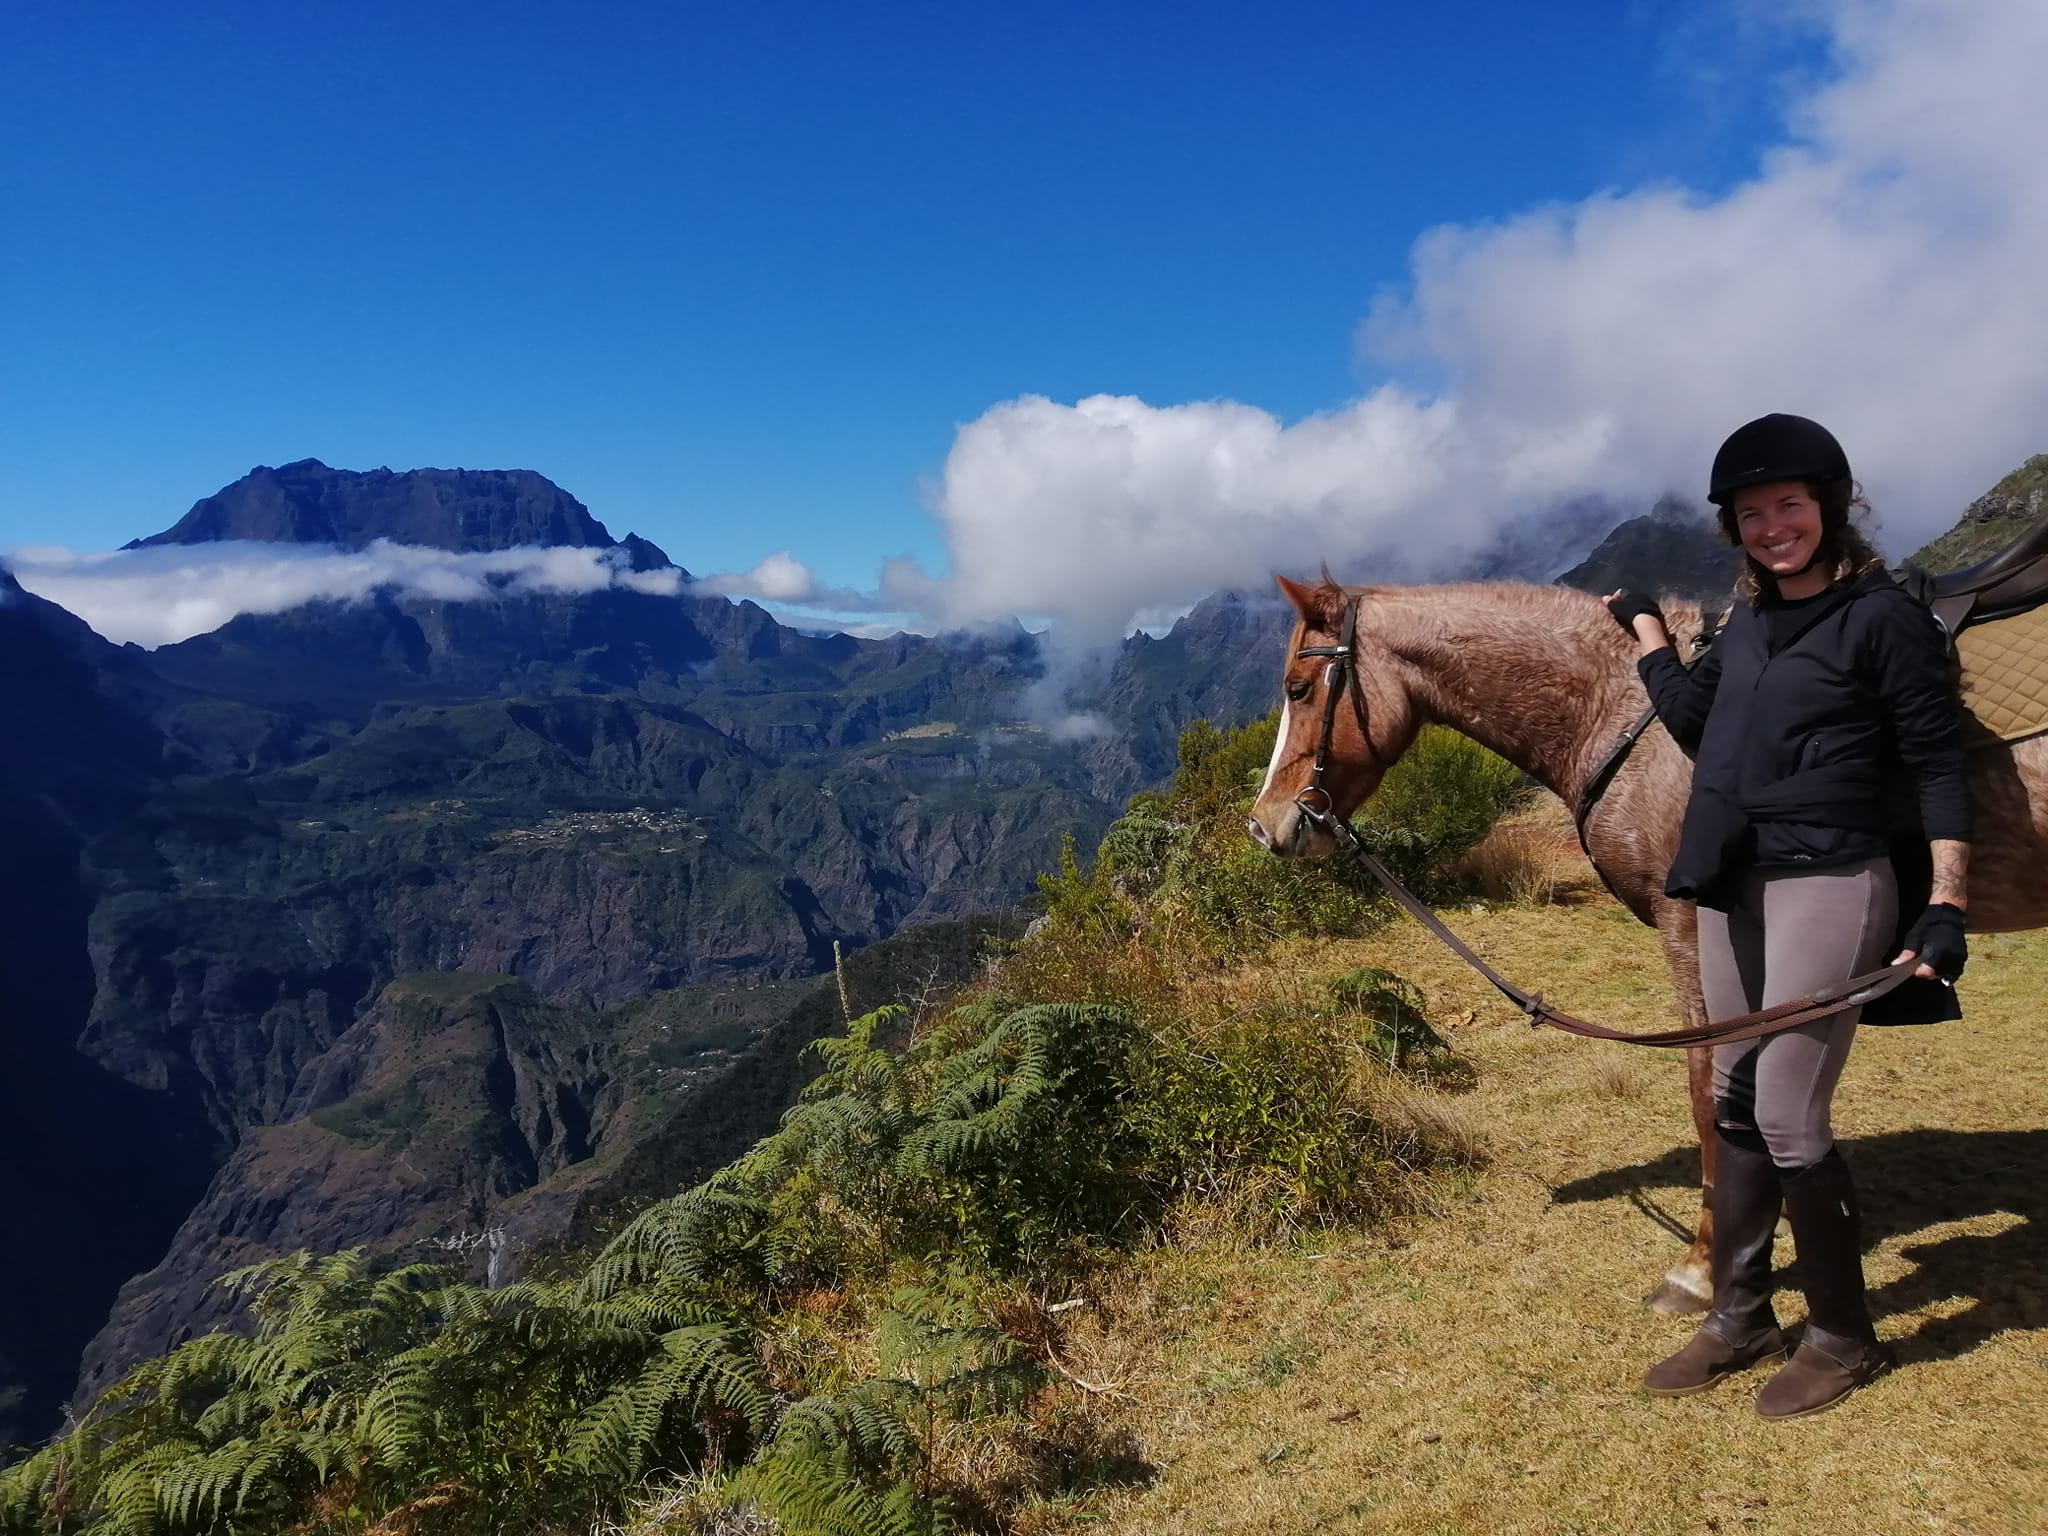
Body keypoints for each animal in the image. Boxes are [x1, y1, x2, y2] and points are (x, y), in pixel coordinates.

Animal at [1236, 573, 2048, 1318]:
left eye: (1299, 687)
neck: (1635, 719)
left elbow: (1708, 1084)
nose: (1266, 825)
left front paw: (1703, 1270)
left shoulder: (1693, 925)